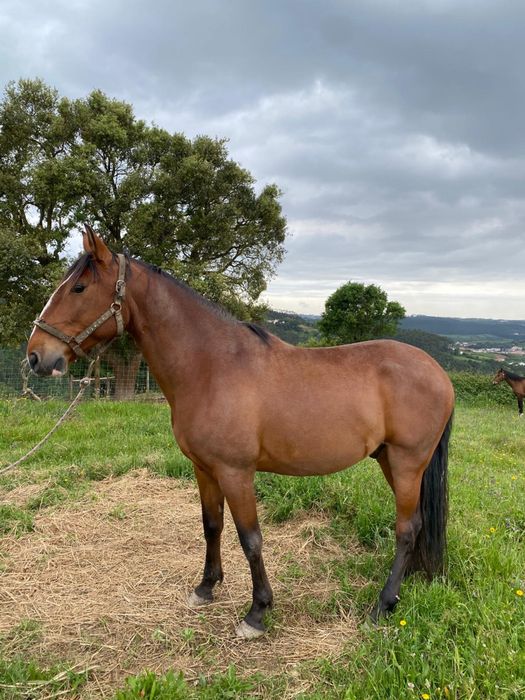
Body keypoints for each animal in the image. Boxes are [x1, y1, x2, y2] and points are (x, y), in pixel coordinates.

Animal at [27, 226, 455, 638]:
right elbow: (211, 526)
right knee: (416, 525)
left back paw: (382, 605)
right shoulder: (204, 469)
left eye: (79, 288)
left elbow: (251, 539)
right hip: (389, 460)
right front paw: (205, 588)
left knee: (406, 530)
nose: (35, 356)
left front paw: (257, 612)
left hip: (407, 462)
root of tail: (438, 372)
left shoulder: (236, 473)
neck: (211, 367)